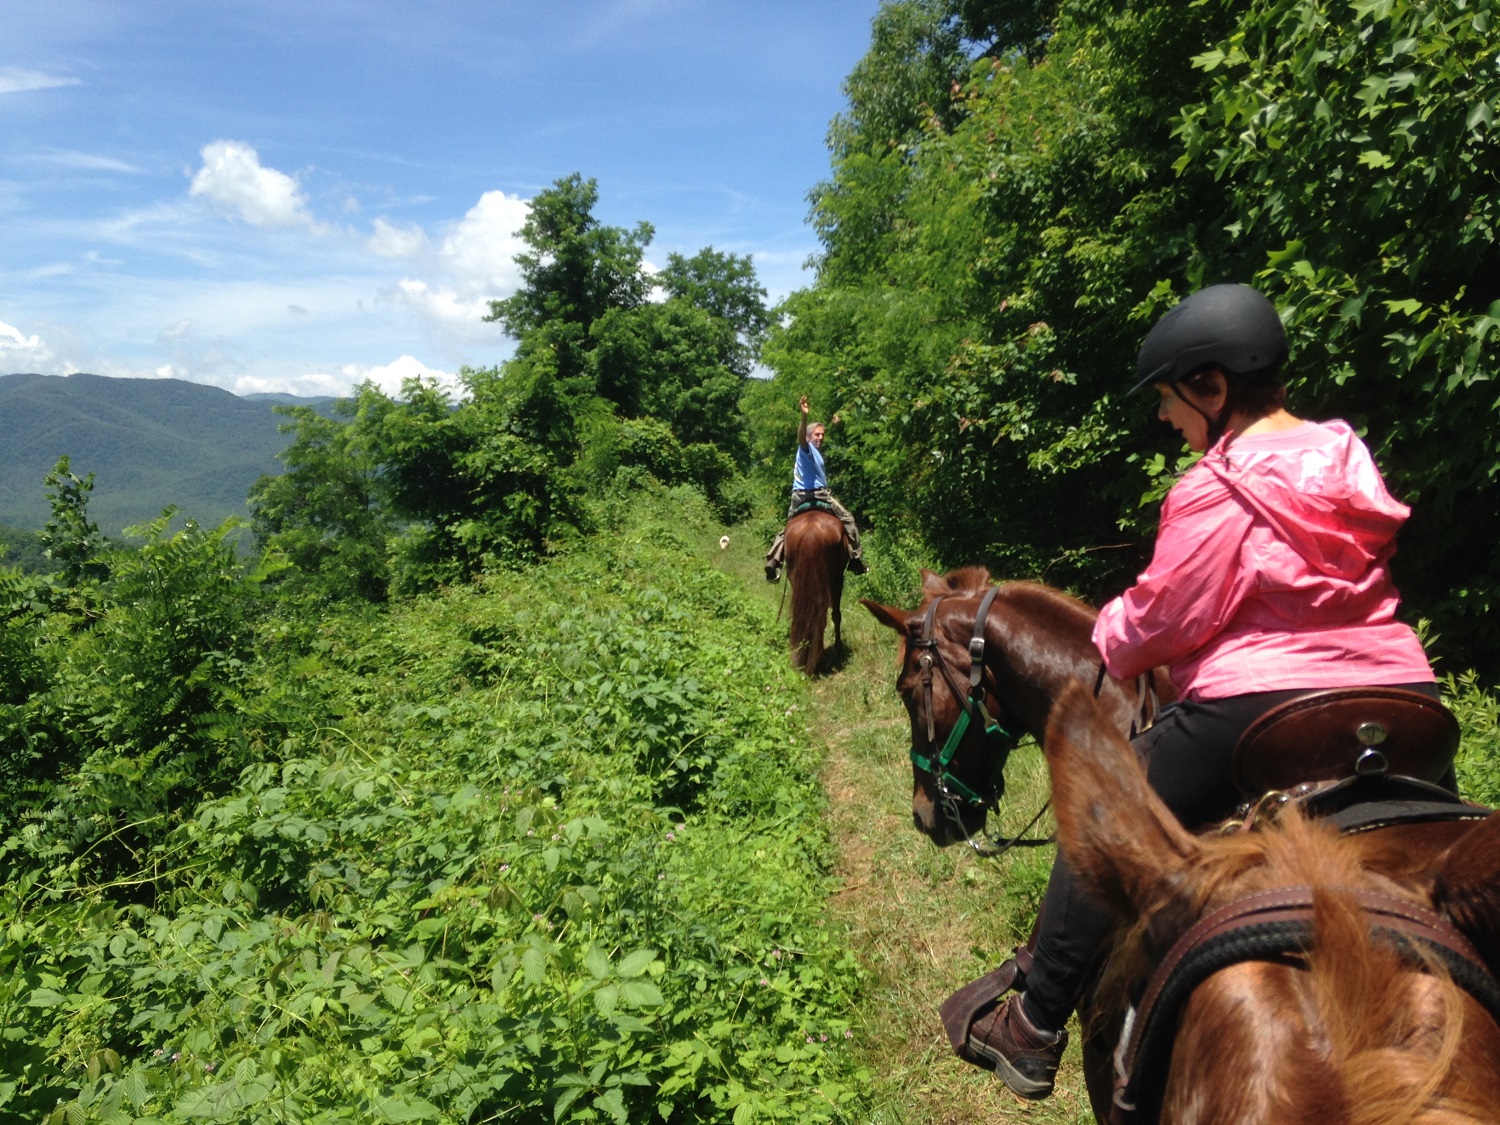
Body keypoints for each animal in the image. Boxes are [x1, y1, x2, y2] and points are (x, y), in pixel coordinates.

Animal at [786, 513, 846, 678]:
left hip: (796, 578)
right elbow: (836, 615)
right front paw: (838, 648)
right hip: (833, 579)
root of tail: (811, 532)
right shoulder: (839, 579)